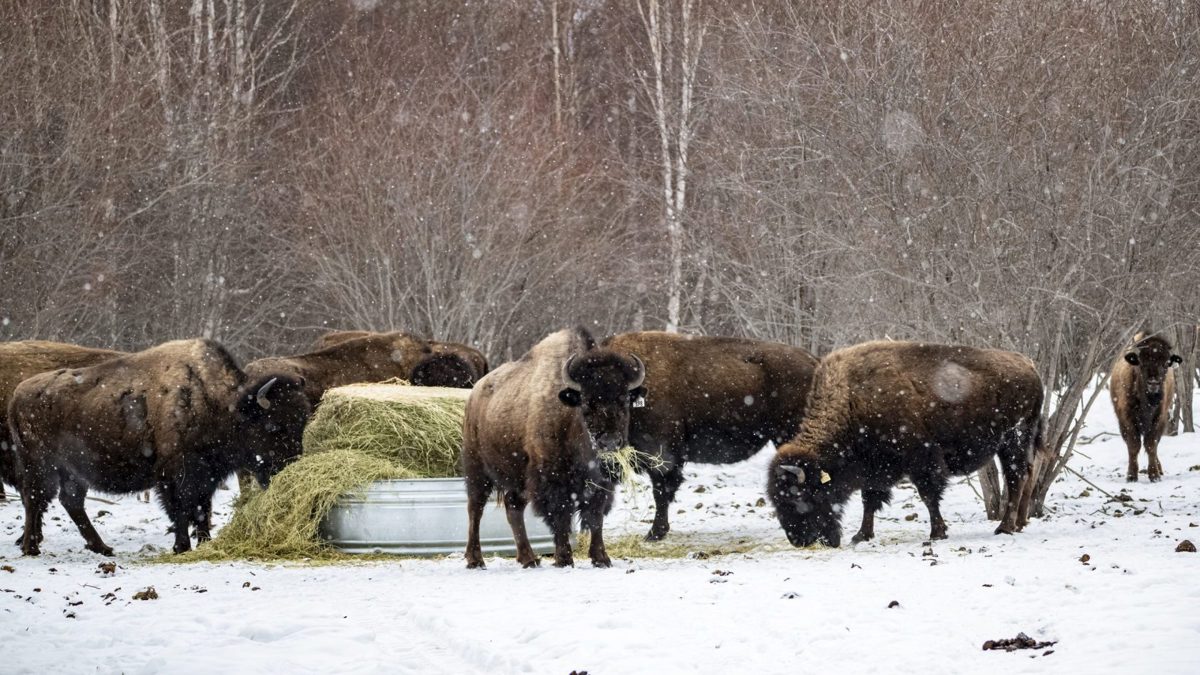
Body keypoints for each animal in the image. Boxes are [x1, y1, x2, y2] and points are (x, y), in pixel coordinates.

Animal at [8, 339, 310, 555]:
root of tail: (17, 395)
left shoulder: (207, 477)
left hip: (74, 473)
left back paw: (102, 548)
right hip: (42, 467)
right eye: (273, 427)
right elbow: (182, 509)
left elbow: (202, 509)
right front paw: (182, 546)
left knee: (69, 502)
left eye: (302, 423)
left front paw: (204, 542)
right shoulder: (176, 476)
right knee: (35, 500)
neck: (219, 404)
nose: (291, 466)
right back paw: (31, 548)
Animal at [462, 327, 646, 568]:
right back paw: (476, 560)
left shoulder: (600, 483)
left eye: (624, 400)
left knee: (513, 508)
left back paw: (529, 558)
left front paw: (601, 558)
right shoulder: (552, 478)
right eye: (586, 403)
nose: (609, 443)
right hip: (477, 470)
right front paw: (564, 558)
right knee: (475, 509)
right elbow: (561, 515)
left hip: (517, 478)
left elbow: (596, 516)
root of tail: (474, 394)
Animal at [601, 331, 817, 540]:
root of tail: (812, 360)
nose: (607, 441)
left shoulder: (663, 457)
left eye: (621, 400)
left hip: (788, 435)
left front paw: (654, 533)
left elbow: (661, 492)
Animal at [768, 341, 1043, 547]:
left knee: (1016, 477)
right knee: (1027, 474)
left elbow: (928, 495)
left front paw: (937, 533)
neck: (853, 402)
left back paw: (1005, 527)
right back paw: (1019, 524)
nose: (798, 541)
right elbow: (870, 500)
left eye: (800, 497)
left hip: (1013, 439)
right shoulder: (874, 468)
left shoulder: (923, 460)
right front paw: (861, 535)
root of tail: (1029, 365)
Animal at [1110, 332, 1182, 482]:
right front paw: (1131, 476)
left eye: (1166, 363)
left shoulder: (1159, 420)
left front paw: (1154, 475)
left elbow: (1151, 445)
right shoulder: (1127, 420)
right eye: (1142, 363)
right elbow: (1134, 445)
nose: (1153, 383)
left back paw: (1159, 469)